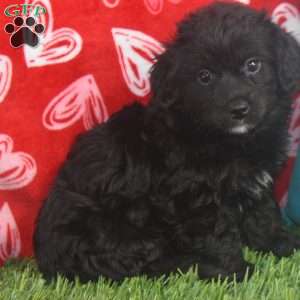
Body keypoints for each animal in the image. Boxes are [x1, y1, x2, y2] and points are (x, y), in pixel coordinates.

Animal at [34, 1, 300, 282]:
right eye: (204, 77)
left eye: (253, 65)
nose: (238, 109)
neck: (231, 142)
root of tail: (47, 260)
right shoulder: (196, 198)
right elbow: (217, 236)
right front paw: (234, 270)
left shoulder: (258, 181)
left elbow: (264, 213)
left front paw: (280, 244)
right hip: (111, 229)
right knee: (147, 261)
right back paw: (200, 266)